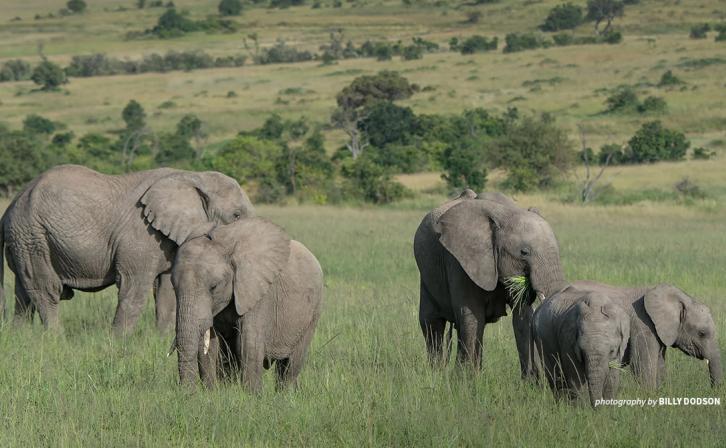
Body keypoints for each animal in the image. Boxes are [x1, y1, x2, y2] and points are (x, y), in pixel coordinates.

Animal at [0, 164, 254, 332]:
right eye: (236, 215)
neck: (195, 176)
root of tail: (9, 209)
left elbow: (166, 291)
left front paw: (159, 339)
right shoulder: (141, 233)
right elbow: (134, 288)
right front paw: (118, 344)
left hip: (24, 241)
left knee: (24, 294)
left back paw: (22, 338)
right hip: (33, 235)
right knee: (45, 290)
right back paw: (56, 339)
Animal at [171, 217, 323, 391]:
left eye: (214, 287)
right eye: (173, 287)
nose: (186, 393)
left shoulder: (258, 293)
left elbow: (248, 344)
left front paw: (252, 395)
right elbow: (210, 347)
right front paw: (212, 393)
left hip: (313, 312)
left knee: (291, 364)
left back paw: (286, 394)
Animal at [413, 189, 568, 375]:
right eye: (524, 252)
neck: (505, 213)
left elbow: (522, 317)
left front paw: (531, 380)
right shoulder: (459, 262)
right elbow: (472, 316)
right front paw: (466, 379)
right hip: (427, 274)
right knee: (432, 323)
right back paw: (436, 374)